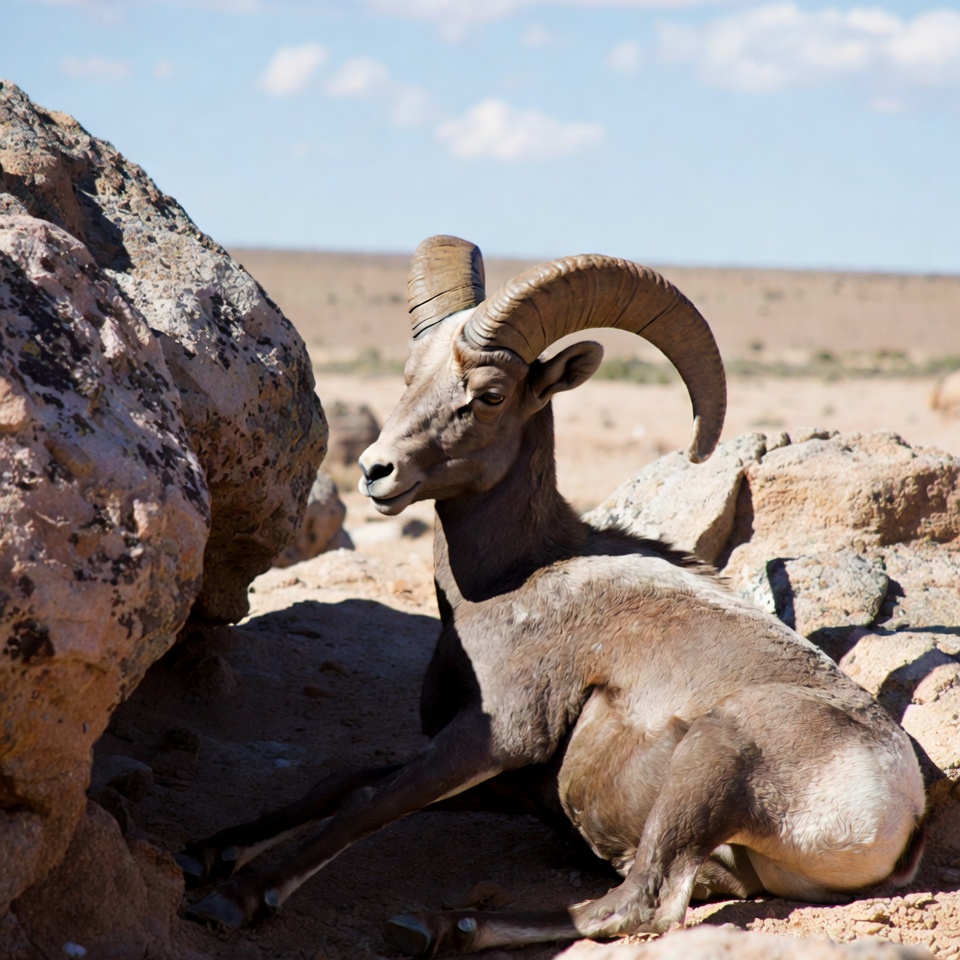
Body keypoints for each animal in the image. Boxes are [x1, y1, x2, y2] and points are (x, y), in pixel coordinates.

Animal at [179, 235, 926, 955]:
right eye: (409, 377)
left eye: (487, 394)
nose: (376, 471)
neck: (508, 582)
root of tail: (901, 814)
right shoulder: (501, 778)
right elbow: (348, 780)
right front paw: (209, 849)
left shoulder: (496, 738)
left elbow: (371, 802)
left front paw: (238, 895)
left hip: (713, 758)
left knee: (642, 904)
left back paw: (439, 925)